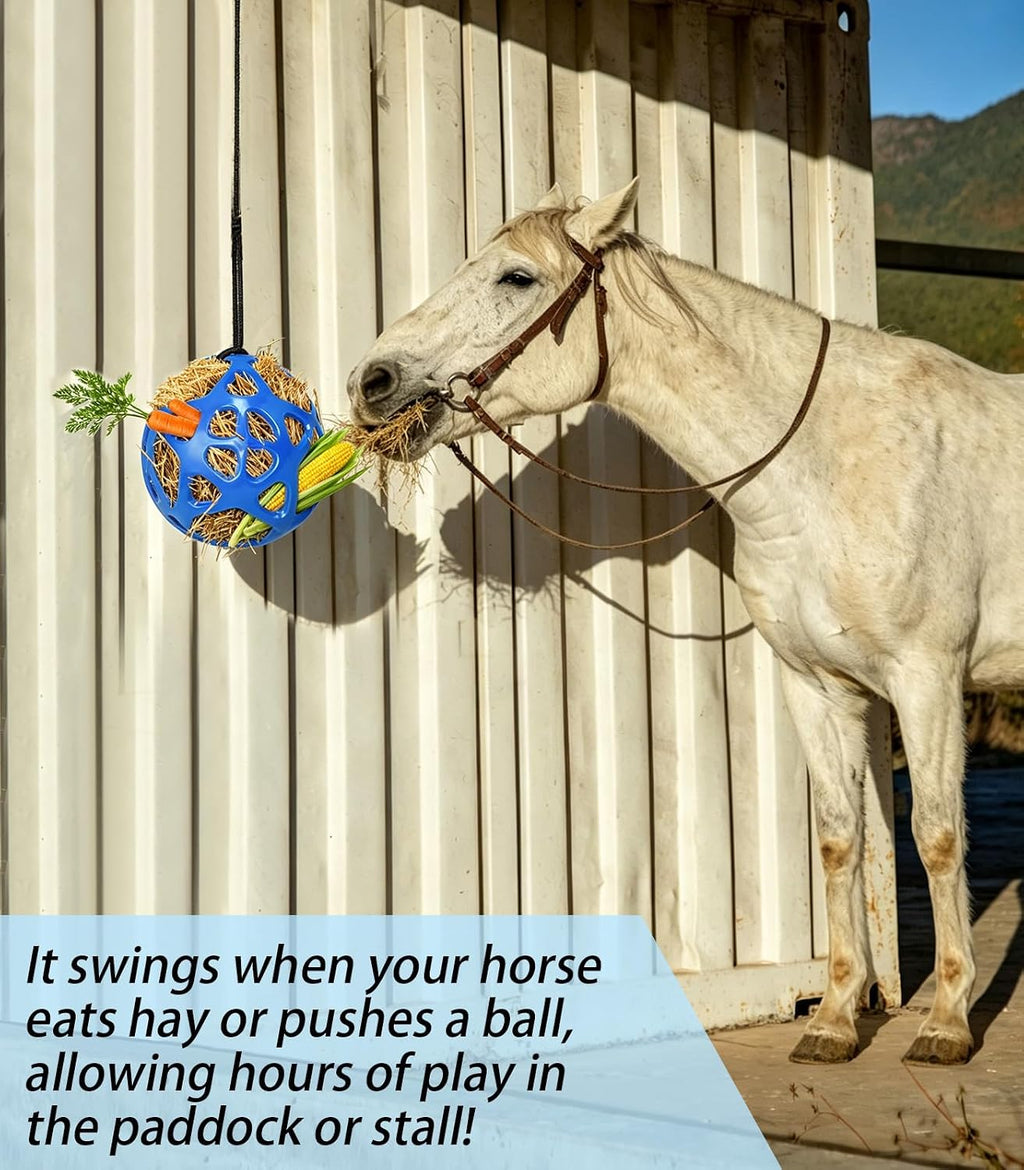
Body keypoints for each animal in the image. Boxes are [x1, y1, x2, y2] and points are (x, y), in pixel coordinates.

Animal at [347, 180, 1024, 1065]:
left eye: (517, 278)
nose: (371, 381)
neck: (826, 466)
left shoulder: (928, 679)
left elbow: (938, 837)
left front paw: (945, 1021)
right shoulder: (818, 687)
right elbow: (839, 837)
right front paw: (837, 1020)